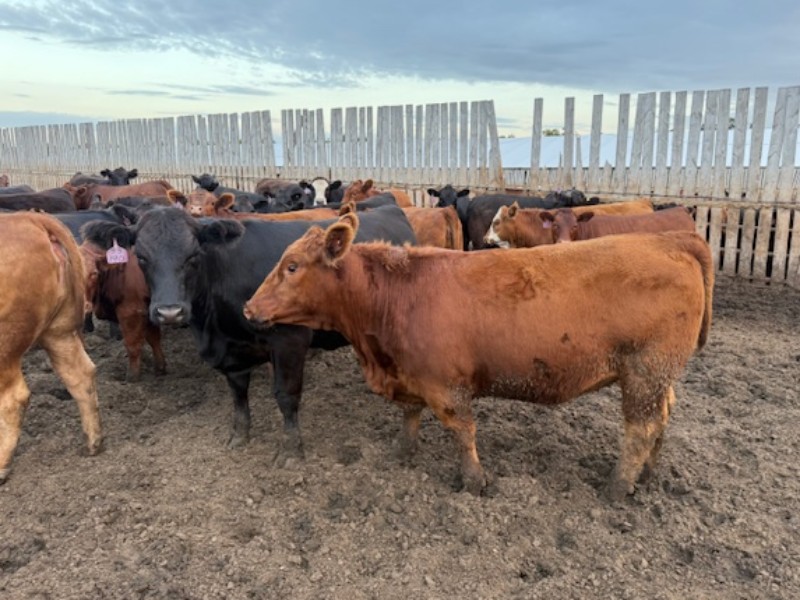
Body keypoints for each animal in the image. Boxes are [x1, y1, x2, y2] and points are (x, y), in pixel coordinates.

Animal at [0, 212, 103, 483]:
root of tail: (30, 219)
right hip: (60, 332)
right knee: (81, 376)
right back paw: (93, 442)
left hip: (5, 344)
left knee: (14, 398)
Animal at [79, 223, 166, 382]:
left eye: (94, 273)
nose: (83, 305)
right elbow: (154, 338)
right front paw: (160, 368)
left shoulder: (132, 312)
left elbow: (132, 344)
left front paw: (132, 376)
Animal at [243, 214, 714, 500]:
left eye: (292, 266)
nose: (249, 308)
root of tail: (672, 239)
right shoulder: (411, 375)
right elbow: (410, 416)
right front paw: (403, 453)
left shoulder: (446, 386)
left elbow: (462, 433)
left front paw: (473, 481)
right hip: (658, 378)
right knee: (663, 419)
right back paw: (649, 474)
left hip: (644, 373)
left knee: (641, 429)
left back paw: (617, 486)